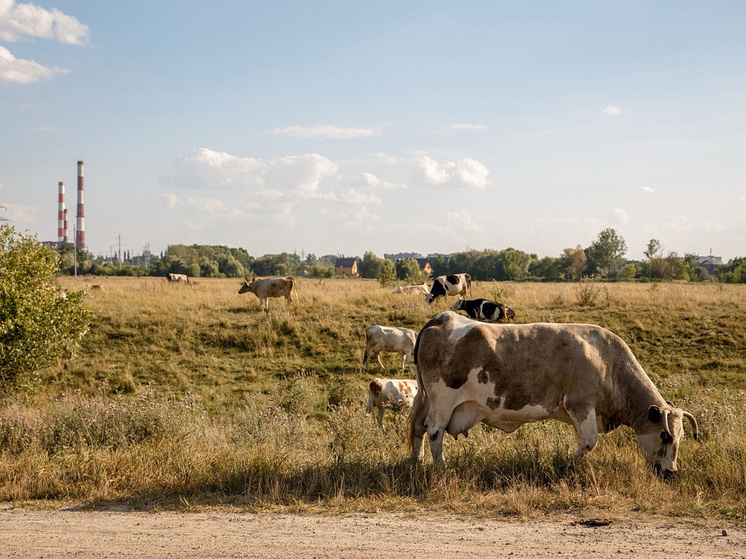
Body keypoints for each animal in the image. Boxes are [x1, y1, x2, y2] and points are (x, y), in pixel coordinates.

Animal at [404, 310, 696, 476]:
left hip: (426, 399)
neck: (609, 363)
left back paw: (417, 462)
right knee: (434, 430)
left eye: (681, 437)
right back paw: (440, 468)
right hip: (442, 402)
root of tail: (443, 318)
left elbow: (584, 441)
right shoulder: (580, 404)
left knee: (418, 427)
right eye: (665, 435)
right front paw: (563, 464)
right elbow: (588, 442)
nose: (672, 472)